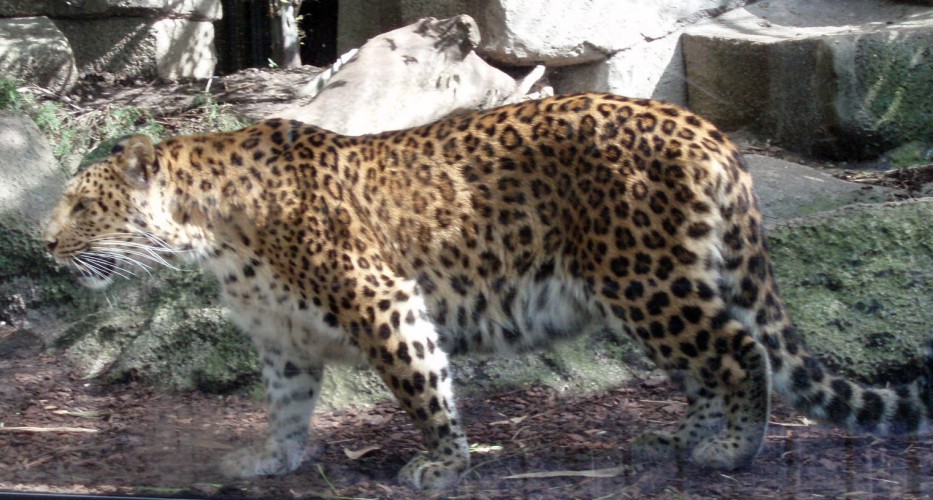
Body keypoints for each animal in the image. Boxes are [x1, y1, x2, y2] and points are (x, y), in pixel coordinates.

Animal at [44, 93, 933, 490]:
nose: (46, 245)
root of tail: (707, 129)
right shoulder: (281, 338)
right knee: (705, 367)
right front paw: (271, 457)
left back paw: (731, 450)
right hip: (650, 291)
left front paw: (443, 461)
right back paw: (676, 439)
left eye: (84, 205)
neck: (210, 229)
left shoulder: (383, 298)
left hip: (647, 280)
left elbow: (422, 383)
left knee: (738, 349)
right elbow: (286, 404)